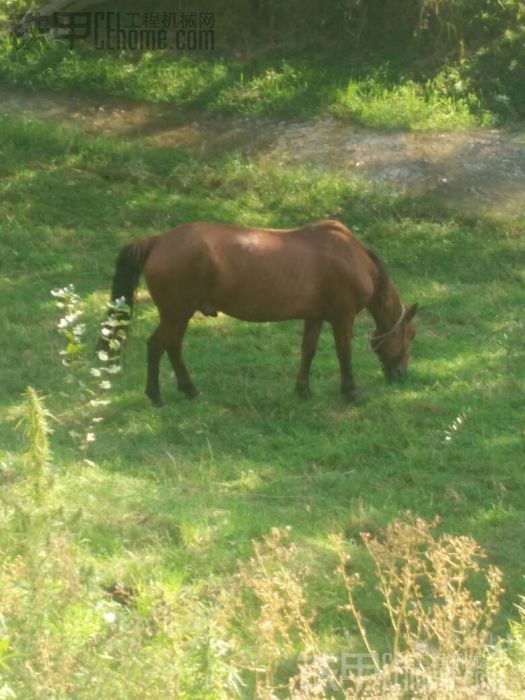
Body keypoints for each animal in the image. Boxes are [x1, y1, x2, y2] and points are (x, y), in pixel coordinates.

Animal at [101, 219, 418, 404]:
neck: (350, 255)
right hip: (175, 314)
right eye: (410, 335)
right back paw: (156, 396)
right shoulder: (342, 316)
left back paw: (189, 389)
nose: (401, 374)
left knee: (173, 347)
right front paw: (351, 391)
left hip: (179, 316)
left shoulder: (314, 316)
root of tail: (158, 240)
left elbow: (308, 350)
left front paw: (303, 390)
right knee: (157, 346)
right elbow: (344, 353)